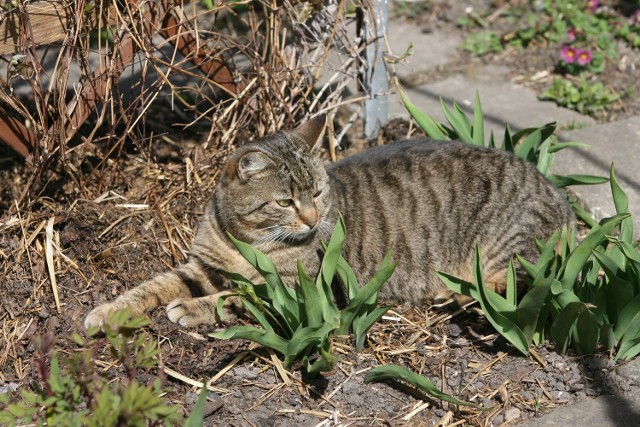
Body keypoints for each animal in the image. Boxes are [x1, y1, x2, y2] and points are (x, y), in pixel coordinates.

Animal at [84, 115, 576, 330]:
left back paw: (450, 292)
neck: (249, 242)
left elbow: (240, 297)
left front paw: (193, 308)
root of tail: (559, 193)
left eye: (318, 193)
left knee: (506, 286)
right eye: (285, 201)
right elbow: (152, 286)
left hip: (505, 249)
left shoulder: (298, 289)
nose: (314, 218)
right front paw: (108, 311)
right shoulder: (202, 265)